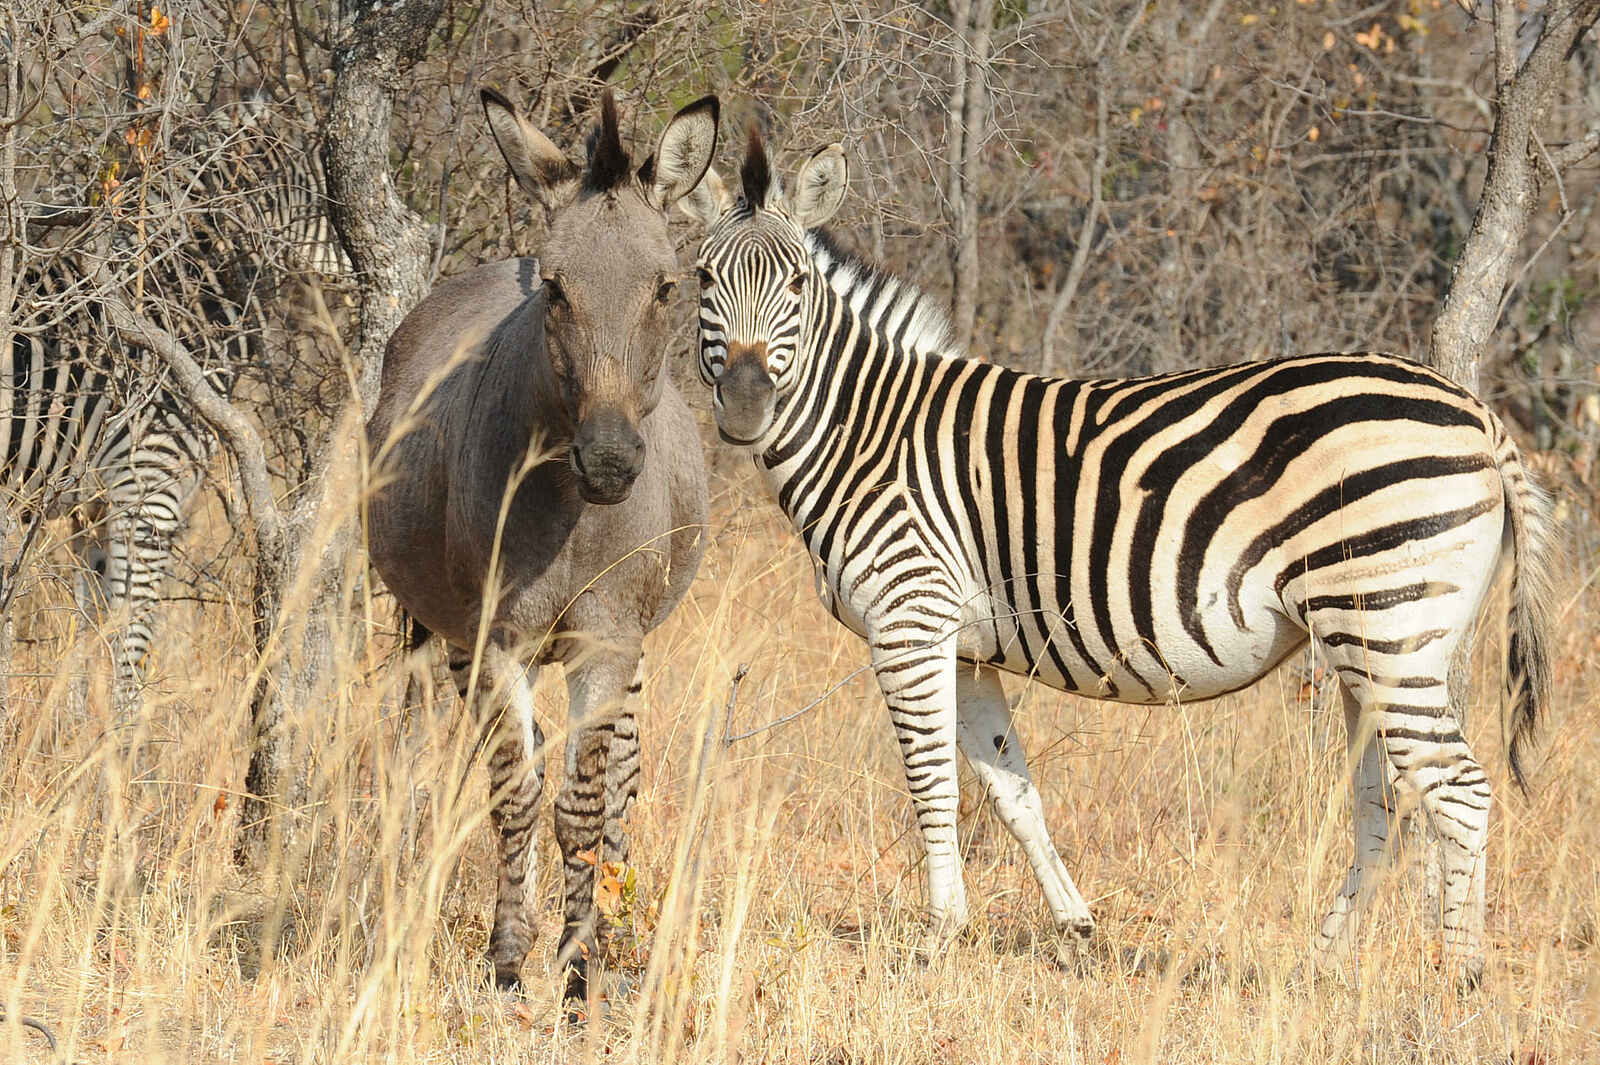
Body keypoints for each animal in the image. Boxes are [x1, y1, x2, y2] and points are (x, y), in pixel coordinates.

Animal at [3, 95, 344, 711]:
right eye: (337, 199)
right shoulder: (149, 488)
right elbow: (131, 641)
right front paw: (125, 736)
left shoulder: (95, 506)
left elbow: (91, 633)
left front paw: (74, 732)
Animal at [683, 129, 1557, 985]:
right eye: (701, 278)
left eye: (797, 284)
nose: (748, 406)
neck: (869, 429)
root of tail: (1479, 413)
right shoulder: (963, 647)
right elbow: (1012, 790)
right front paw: (1074, 930)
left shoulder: (909, 618)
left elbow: (932, 784)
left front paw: (935, 943)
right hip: (1375, 645)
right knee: (1386, 805)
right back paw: (1317, 967)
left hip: (1387, 626)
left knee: (1460, 792)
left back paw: (1458, 982)